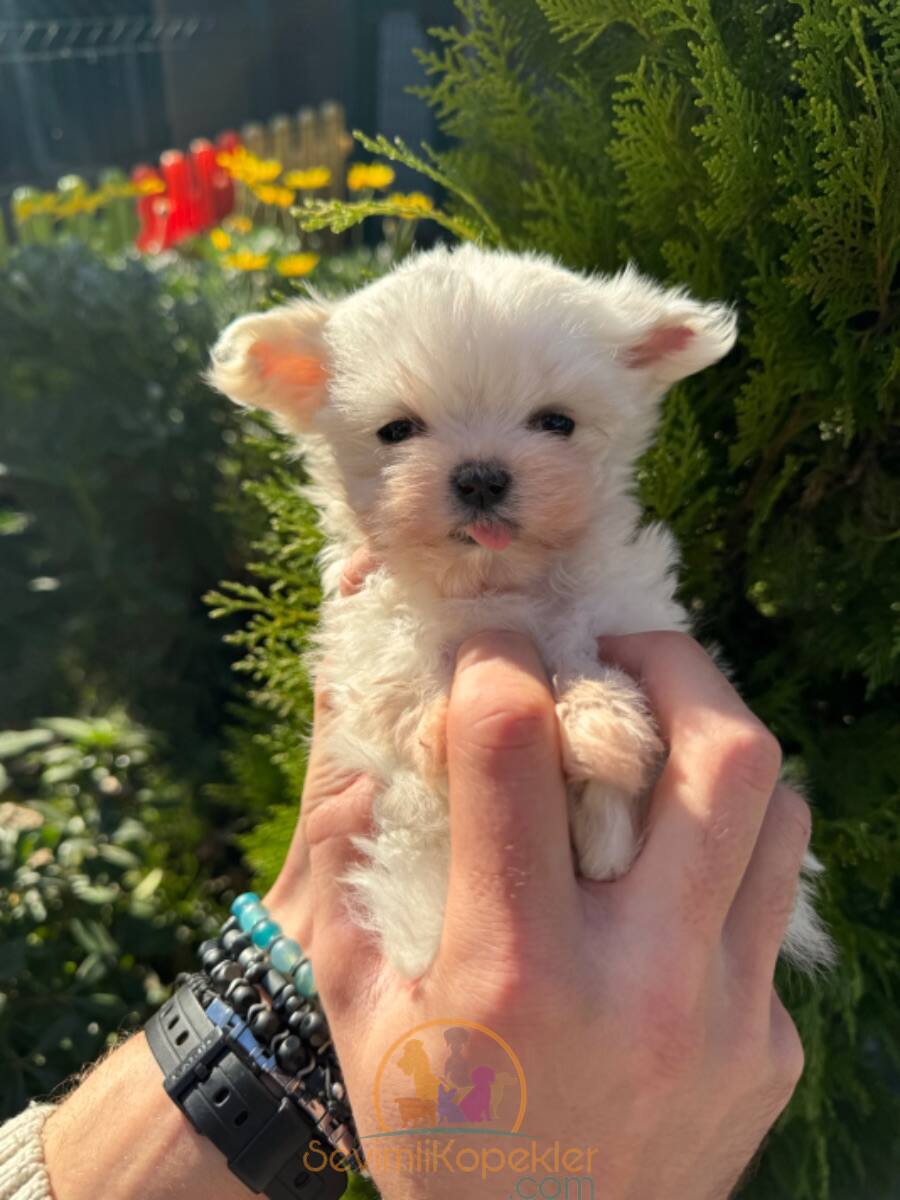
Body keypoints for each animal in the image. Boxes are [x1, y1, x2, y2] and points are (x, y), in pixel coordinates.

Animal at [210, 241, 830, 974]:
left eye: (556, 422)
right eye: (397, 430)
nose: (480, 476)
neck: (496, 584)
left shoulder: (624, 614)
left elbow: (591, 669)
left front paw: (603, 731)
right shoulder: (366, 634)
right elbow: (400, 674)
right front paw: (438, 722)